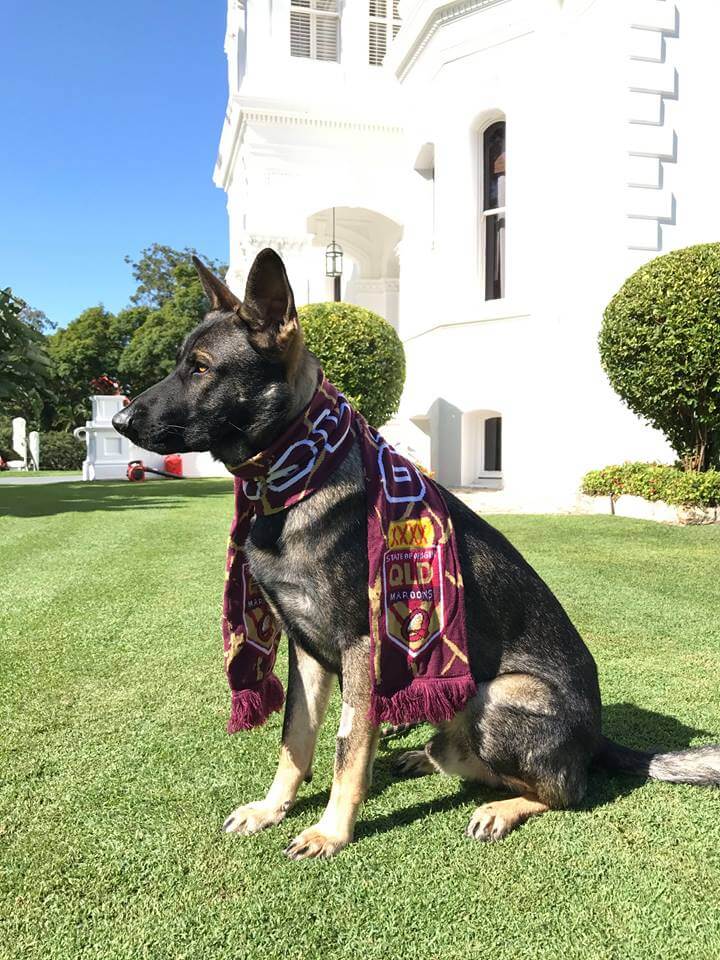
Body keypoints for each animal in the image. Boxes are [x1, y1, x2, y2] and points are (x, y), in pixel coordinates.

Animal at [112, 251, 720, 860]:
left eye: (201, 368)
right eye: (181, 364)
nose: (118, 422)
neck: (301, 471)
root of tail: (596, 737)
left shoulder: (360, 648)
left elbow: (347, 746)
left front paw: (331, 831)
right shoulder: (305, 649)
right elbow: (295, 738)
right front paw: (272, 808)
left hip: (496, 696)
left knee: (566, 790)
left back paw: (502, 807)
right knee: (463, 759)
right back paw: (422, 757)